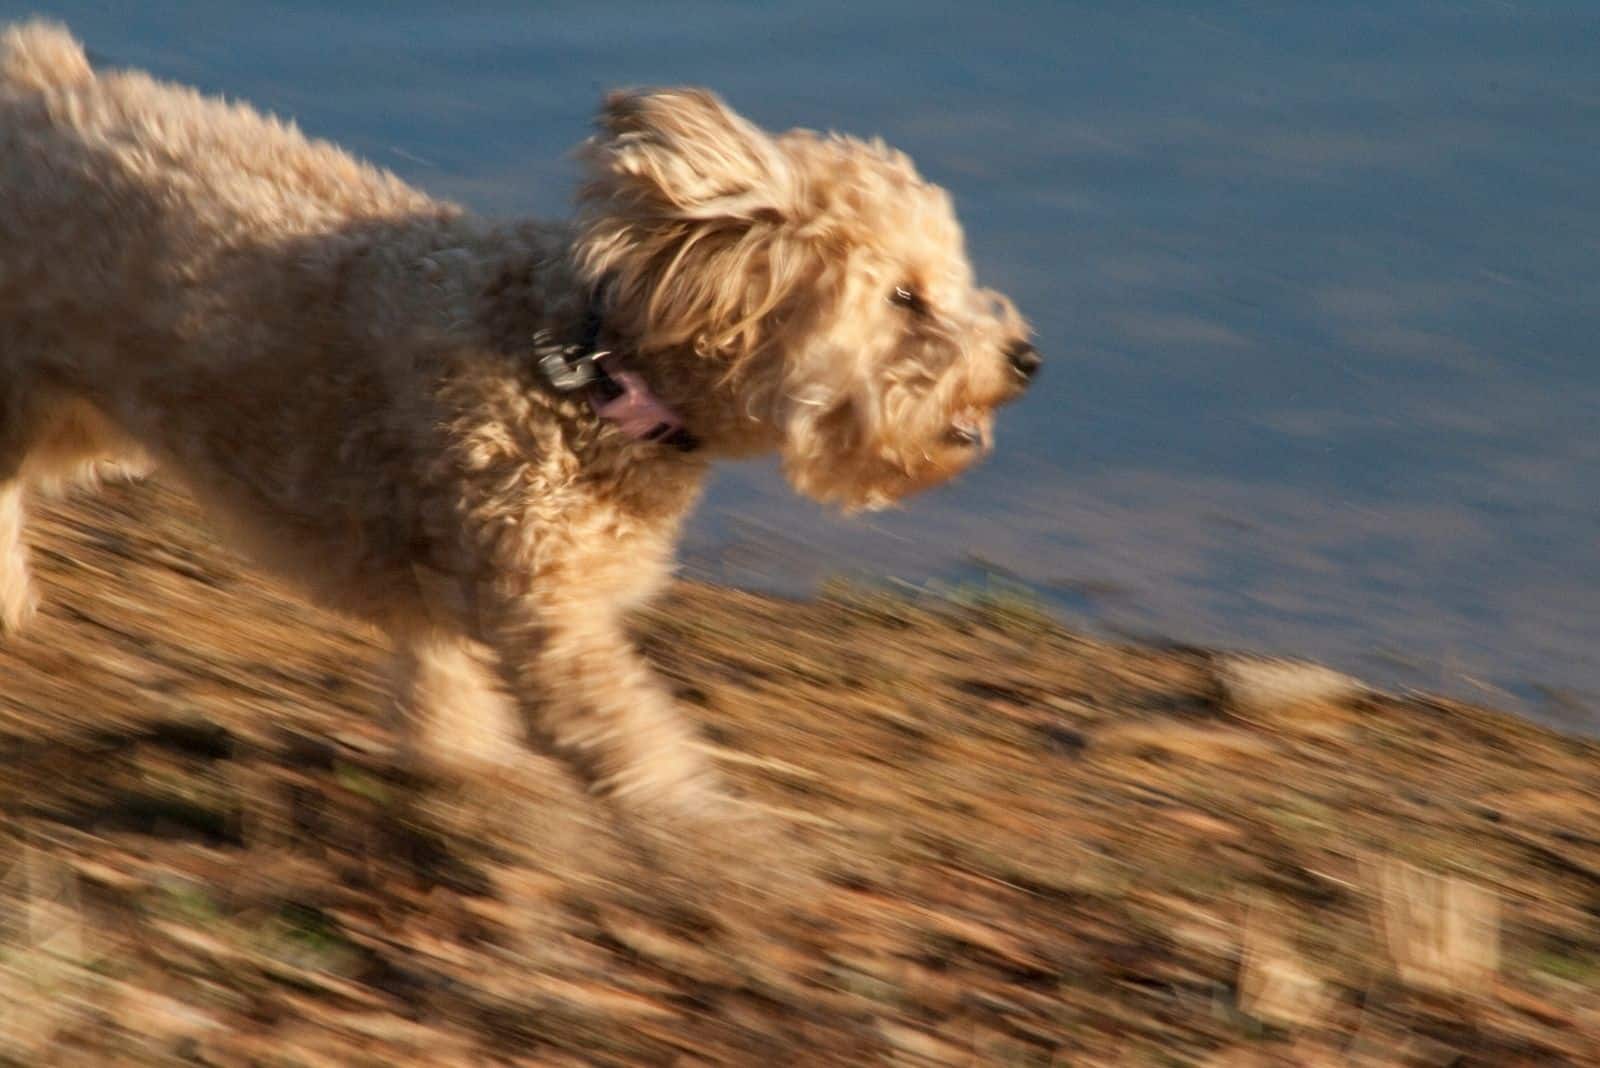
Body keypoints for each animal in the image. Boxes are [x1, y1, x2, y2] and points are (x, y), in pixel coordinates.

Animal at [0, 22, 1036, 824]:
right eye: (904, 297)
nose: (1024, 360)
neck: (594, 374)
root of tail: (41, 76)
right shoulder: (544, 610)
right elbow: (627, 735)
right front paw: (711, 837)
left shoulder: (467, 586)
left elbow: (445, 681)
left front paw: (459, 764)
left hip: (84, 412)